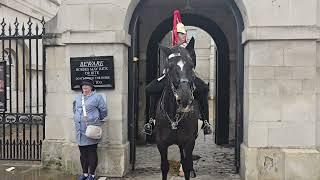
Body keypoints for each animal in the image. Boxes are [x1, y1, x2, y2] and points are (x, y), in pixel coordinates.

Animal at [156, 43, 199, 180]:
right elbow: (164, 167)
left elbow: (186, 166)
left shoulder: (188, 142)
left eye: (191, 65)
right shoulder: (161, 144)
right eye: (169, 67)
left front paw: (187, 171)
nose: (184, 98)